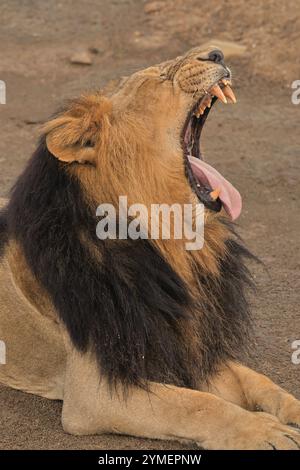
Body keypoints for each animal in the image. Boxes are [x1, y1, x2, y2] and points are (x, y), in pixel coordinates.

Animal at [0, 46, 300, 450]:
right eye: (161, 76)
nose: (217, 52)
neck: (174, 246)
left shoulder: (190, 343)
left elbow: (260, 382)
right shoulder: (95, 391)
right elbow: (198, 405)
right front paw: (262, 431)